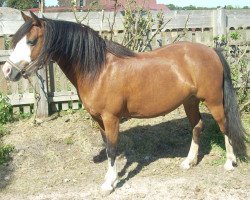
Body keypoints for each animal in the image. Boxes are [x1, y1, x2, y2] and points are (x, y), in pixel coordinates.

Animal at [0, 11, 245, 193]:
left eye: (32, 41)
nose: (7, 71)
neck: (98, 70)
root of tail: (211, 51)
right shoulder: (99, 120)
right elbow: (109, 147)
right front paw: (111, 177)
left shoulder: (111, 118)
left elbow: (112, 148)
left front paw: (109, 184)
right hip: (190, 102)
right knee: (197, 126)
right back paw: (189, 162)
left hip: (214, 101)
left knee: (225, 127)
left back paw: (229, 163)